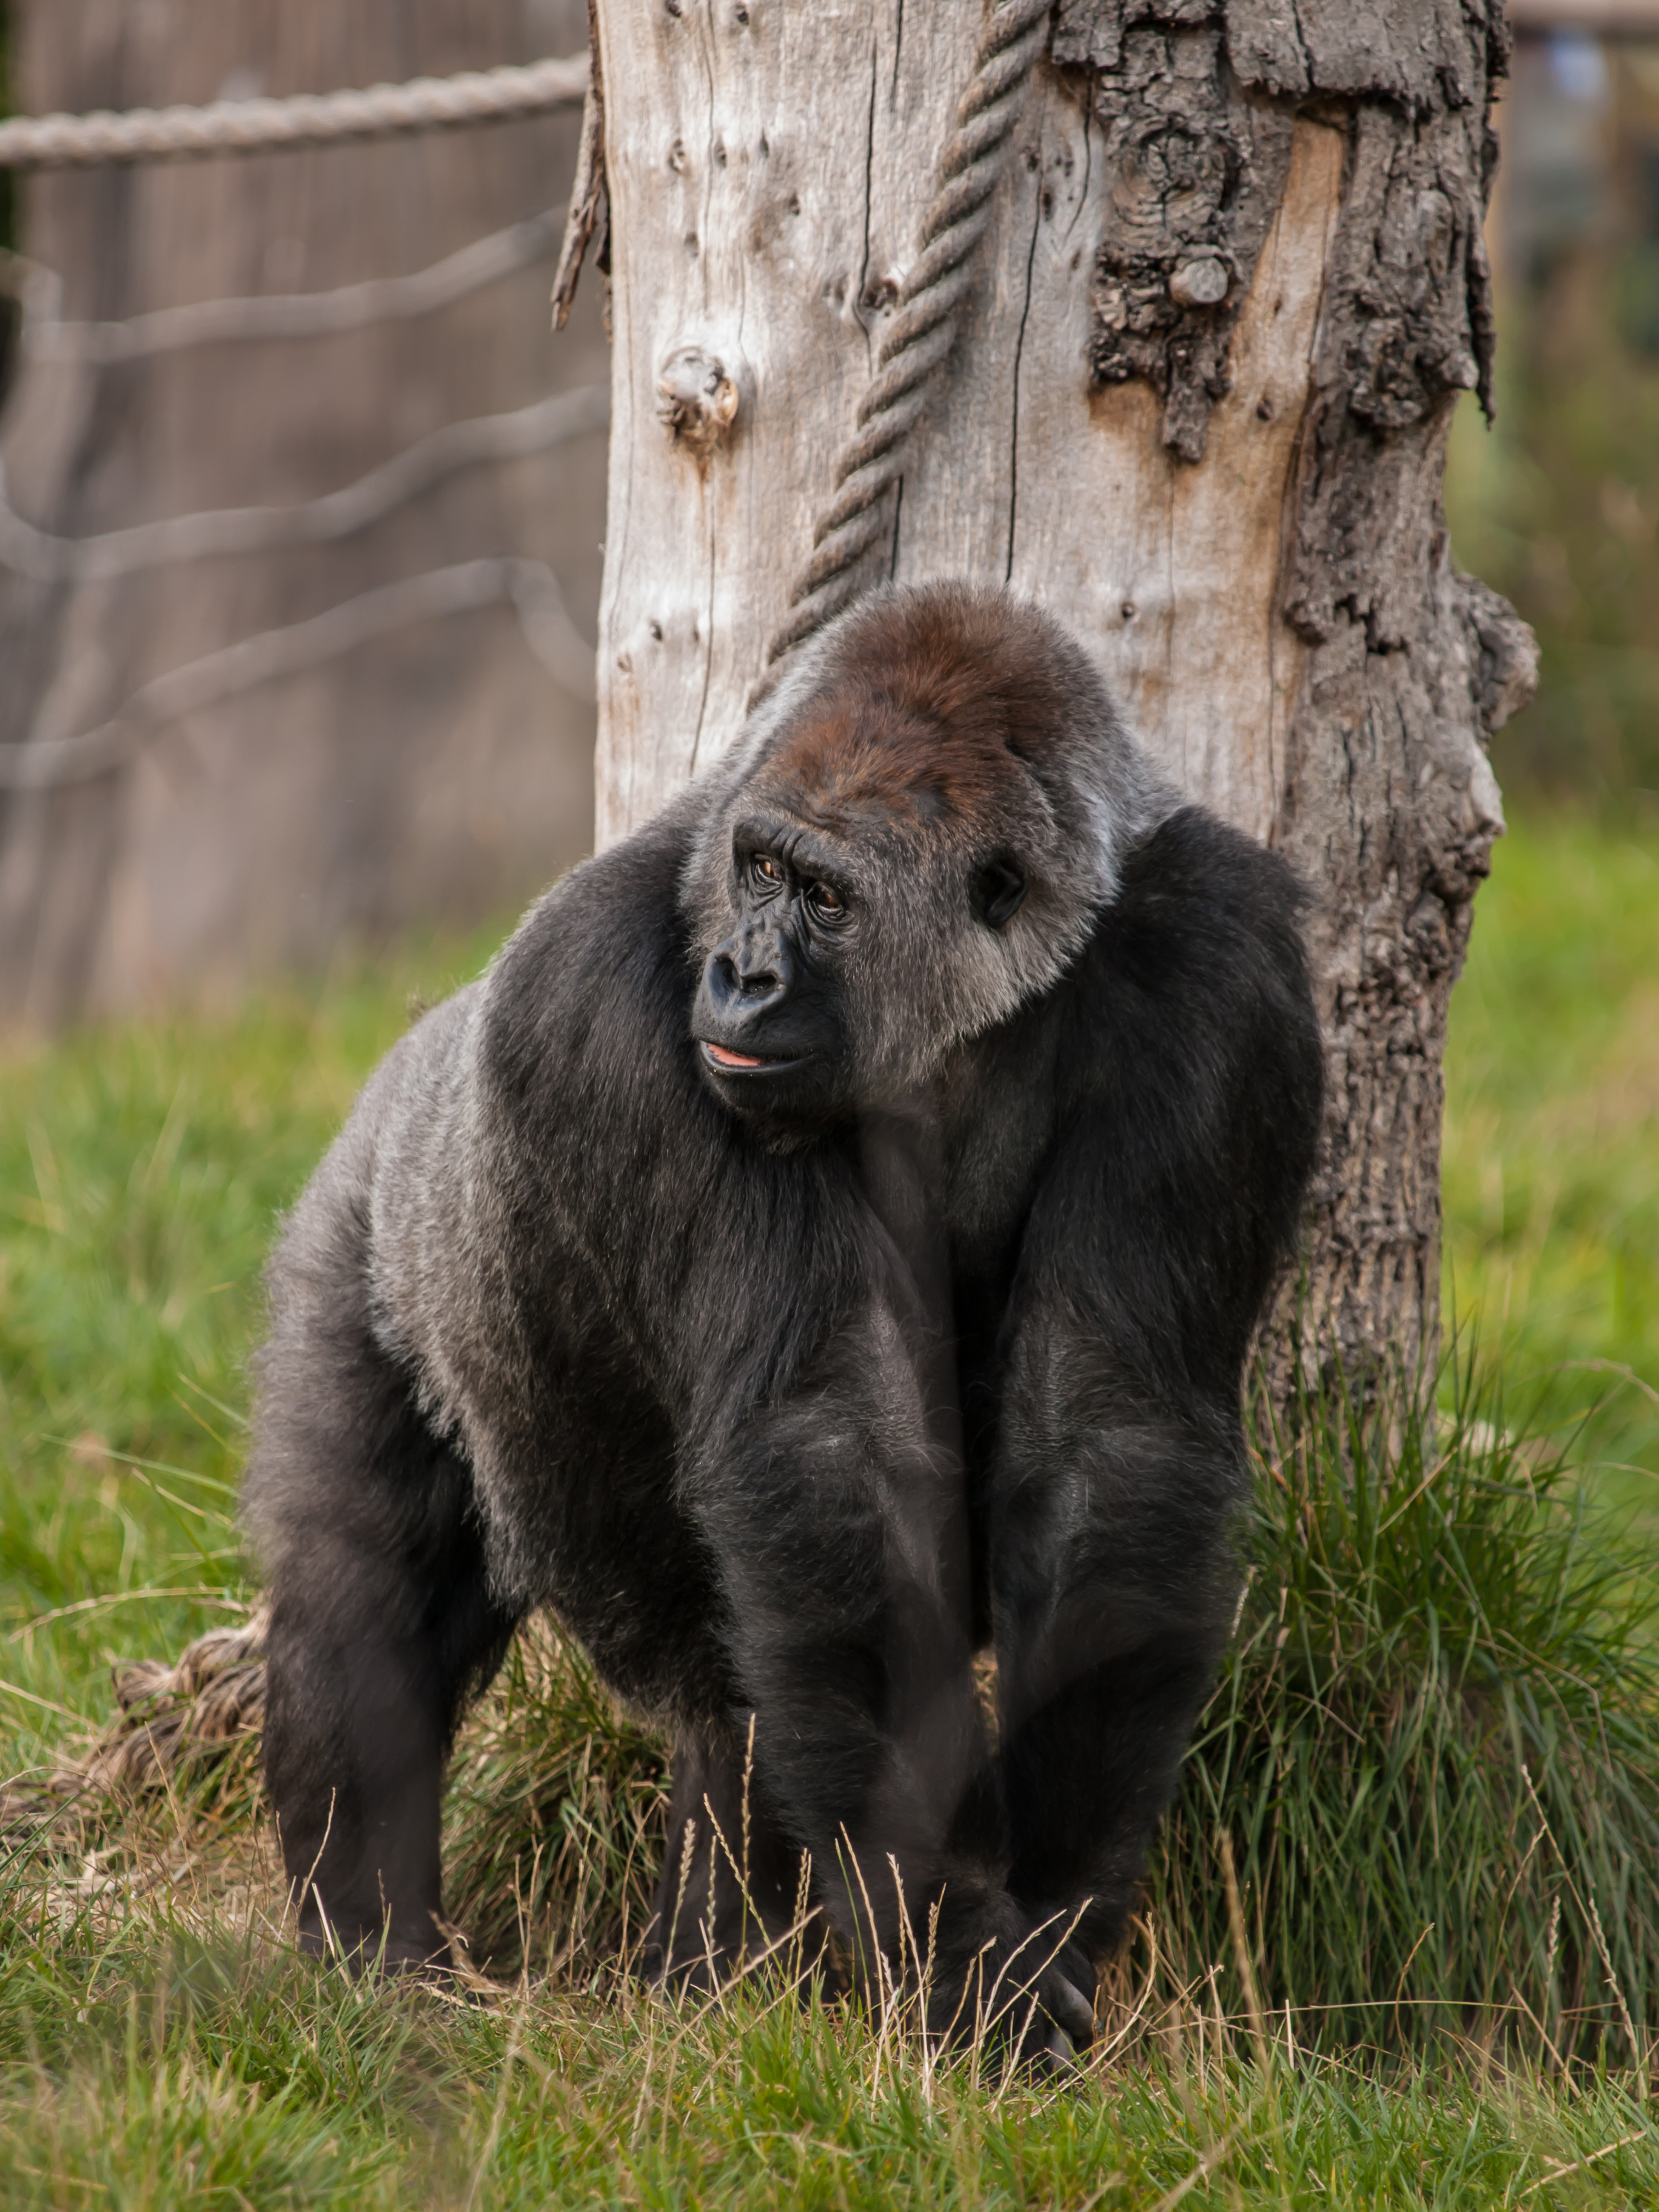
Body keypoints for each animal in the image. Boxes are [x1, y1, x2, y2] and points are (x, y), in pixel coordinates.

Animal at [243, 580, 1323, 2059]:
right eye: (757, 870)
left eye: (824, 896)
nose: (744, 976)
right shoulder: (607, 994)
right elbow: (821, 1447)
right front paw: (944, 1937)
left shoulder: (1223, 966)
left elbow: (1112, 1434)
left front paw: (1051, 1907)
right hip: (365, 1228)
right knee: (375, 1595)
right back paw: (379, 1944)